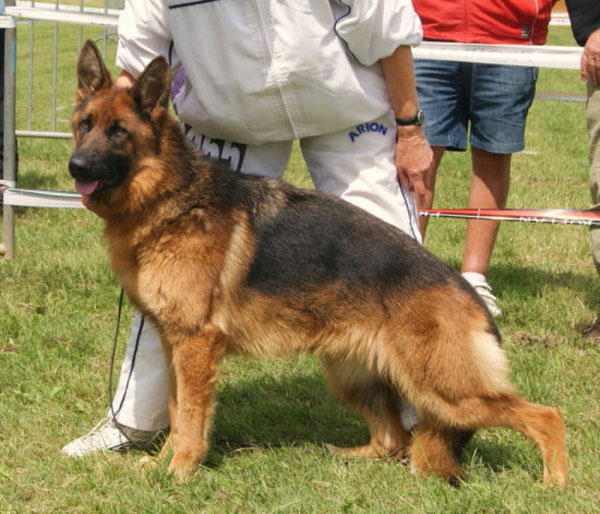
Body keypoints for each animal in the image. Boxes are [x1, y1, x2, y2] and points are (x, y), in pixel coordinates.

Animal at [70, 41, 568, 484]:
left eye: (118, 131)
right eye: (84, 125)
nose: (76, 166)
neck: (171, 197)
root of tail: (467, 293)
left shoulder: (195, 345)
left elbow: (191, 414)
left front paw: (181, 470)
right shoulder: (173, 343)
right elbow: (176, 411)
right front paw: (163, 464)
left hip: (444, 389)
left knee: (546, 416)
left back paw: (555, 483)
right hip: (354, 375)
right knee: (393, 439)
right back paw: (347, 456)